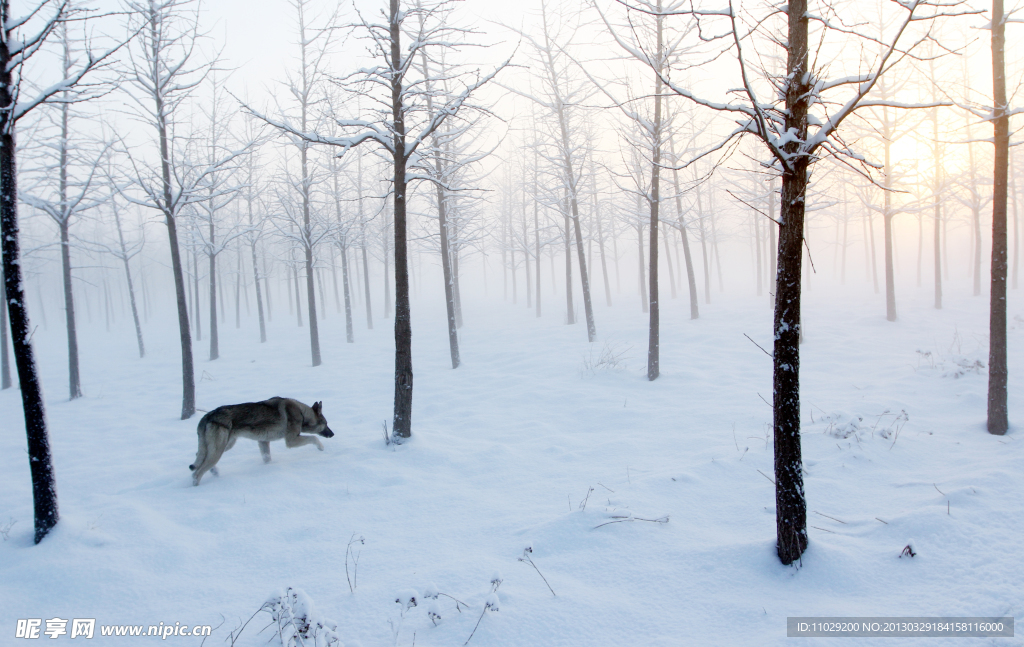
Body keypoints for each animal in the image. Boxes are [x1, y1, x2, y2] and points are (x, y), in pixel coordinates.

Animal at [189, 397, 335, 483]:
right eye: (326, 424)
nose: (333, 434)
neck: (302, 413)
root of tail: (207, 416)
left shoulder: (263, 442)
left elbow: (267, 458)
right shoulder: (291, 441)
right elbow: (314, 438)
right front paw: (321, 447)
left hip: (224, 446)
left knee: (197, 458)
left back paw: (214, 472)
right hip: (219, 451)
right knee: (197, 473)